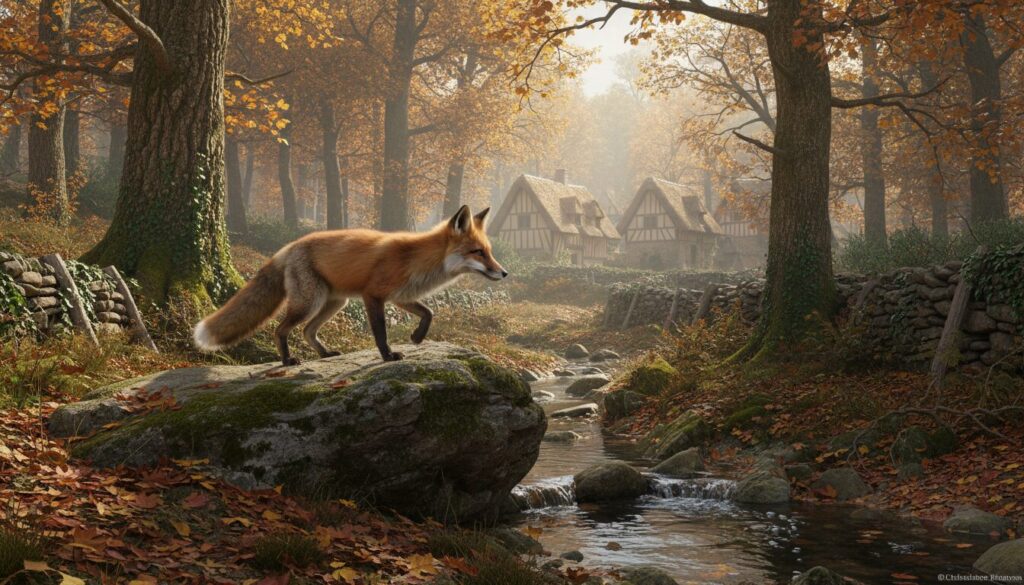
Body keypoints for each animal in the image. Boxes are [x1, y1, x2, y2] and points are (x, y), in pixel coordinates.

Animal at [193, 205, 507, 365]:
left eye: (489, 251)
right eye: (478, 252)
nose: (504, 273)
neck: (417, 259)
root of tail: (288, 247)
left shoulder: (401, 297)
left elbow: (429, 312)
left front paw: (417, 337)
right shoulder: (374, 295)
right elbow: (380, 333)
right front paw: (388, 356)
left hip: (333, 303)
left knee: (307, 331)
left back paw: (323, 354)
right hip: (310, 302)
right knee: (280, 329)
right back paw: (287, 360)